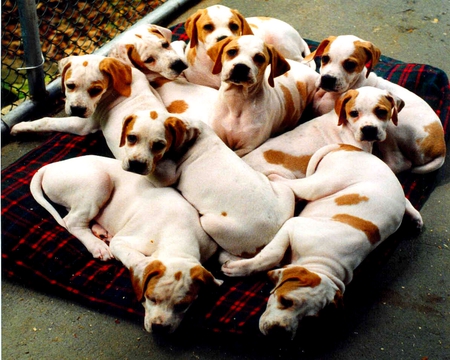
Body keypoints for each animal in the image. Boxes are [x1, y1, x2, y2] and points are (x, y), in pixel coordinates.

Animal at [11, 54, 168, 159]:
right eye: (70, 86)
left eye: (96, 90)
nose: (77, 109)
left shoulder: (83, 124)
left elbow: (47, 121)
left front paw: (21, 127)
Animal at [118, 114, 296, 258]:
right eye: (131, 138)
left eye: (159, 145)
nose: (136, 164)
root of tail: (276, 230)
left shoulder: (166, 178)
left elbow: (154, 173)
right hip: (283, 190)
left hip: (210, 224)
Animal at [223, 142, 424, 338]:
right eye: (286, 301)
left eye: (308, 320)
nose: (279, 333)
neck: (323, 263)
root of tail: (350, 147)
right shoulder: (292, 225)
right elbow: (271, 255)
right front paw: (238, 268)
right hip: (321, 184)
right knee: (292, 184)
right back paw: (274, 177)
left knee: (405, 199)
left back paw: (414, 218)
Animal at [308, 35, 444, 174]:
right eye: (325, 58)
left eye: (350, 64)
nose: (327, 79)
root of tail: (441, 149)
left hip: (392, 127)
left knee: (400, 162)